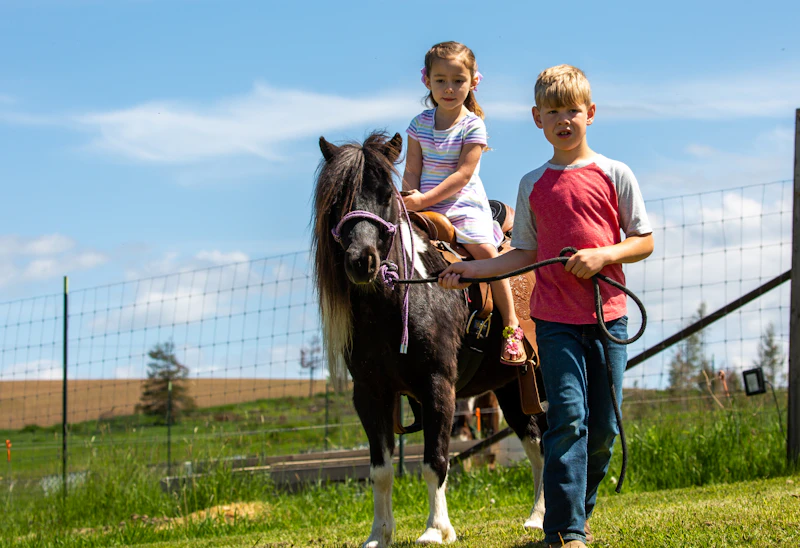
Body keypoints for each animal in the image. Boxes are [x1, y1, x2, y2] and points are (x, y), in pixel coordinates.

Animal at [312, 131, 547, 547]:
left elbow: (434, 460)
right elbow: (380, 470)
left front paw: (436, 528)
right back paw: (536, 517)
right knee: (535, 440)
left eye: (387, 194)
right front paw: (380, 533)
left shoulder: (438, 385)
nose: (362, 260)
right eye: (338, 197)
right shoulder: (370, 393)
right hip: (511, 386)